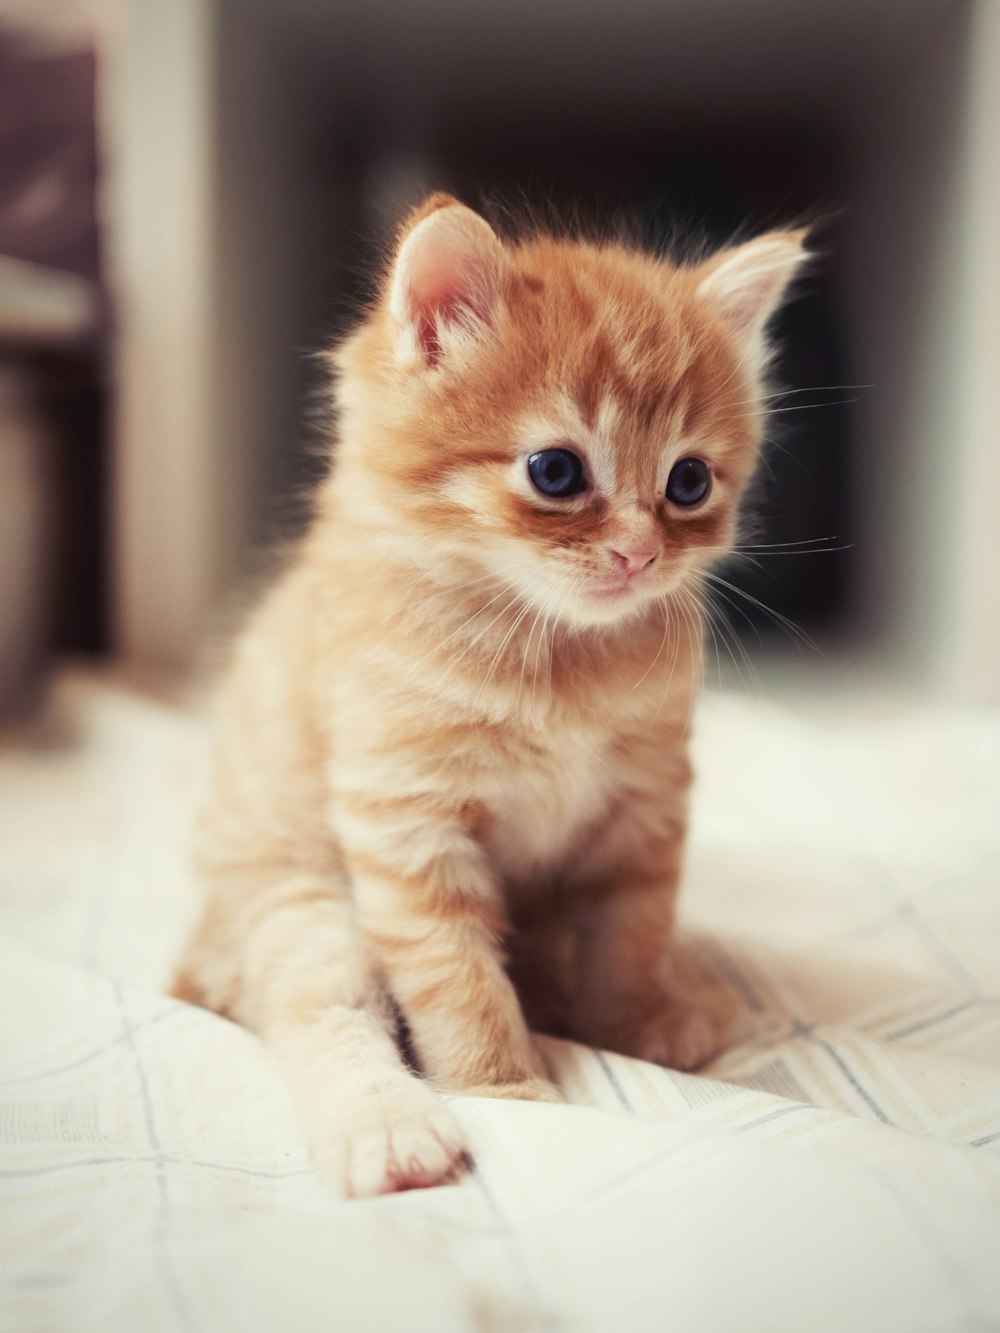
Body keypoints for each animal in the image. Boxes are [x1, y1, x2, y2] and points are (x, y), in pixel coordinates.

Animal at [170, 190, 816, 1199]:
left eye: (688, 481)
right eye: (556, 471)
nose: (640, 553)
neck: (551, 650)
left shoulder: (646, 807)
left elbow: (631, 932)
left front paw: (634, 1022)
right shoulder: (407, 822)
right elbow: (457, 976)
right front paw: (504, 1085)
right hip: (294, 896)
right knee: (320, 1010)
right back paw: (391, 1131)